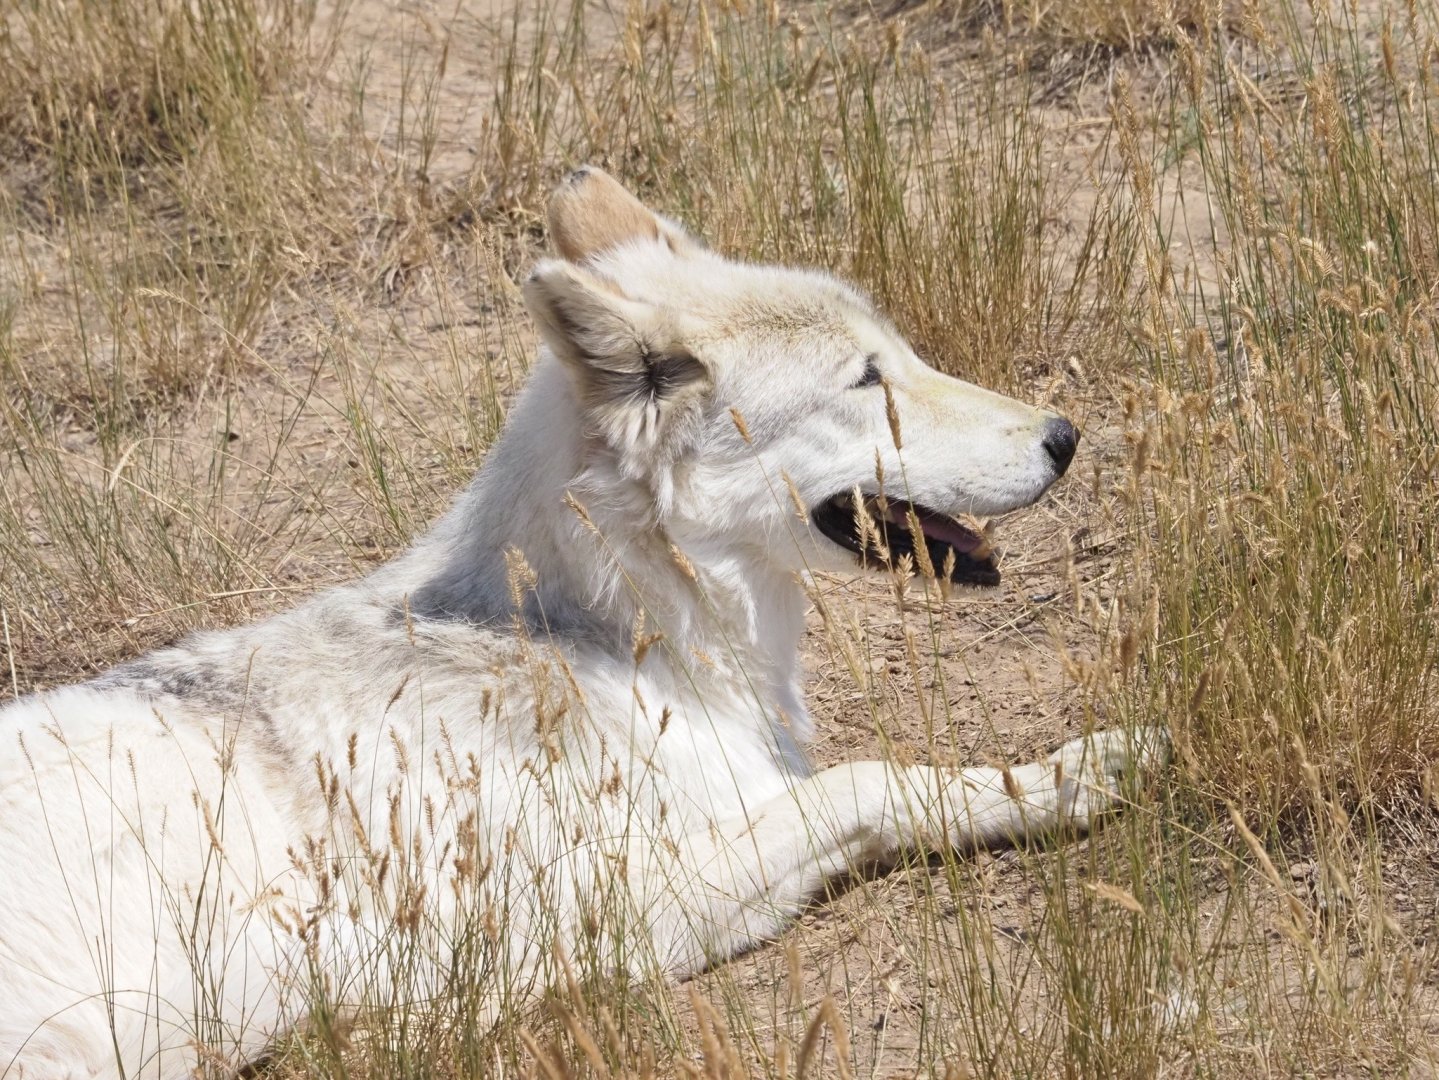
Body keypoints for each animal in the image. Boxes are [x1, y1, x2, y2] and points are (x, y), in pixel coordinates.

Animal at [0, 167, 1163, 1077]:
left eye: (903, 353)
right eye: (866, 380)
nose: (1063, 435)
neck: (594, 631)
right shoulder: (604, 914)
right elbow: (868, 783)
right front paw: (1069, 776)